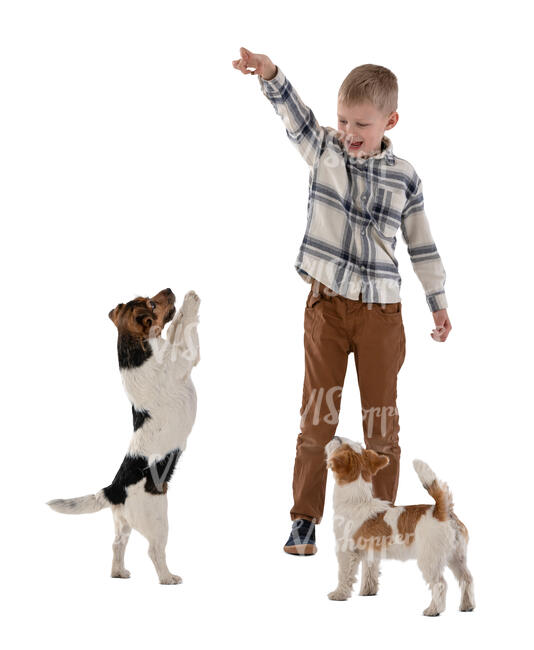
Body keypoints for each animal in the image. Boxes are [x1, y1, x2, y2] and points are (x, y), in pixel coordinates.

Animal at [47, 288, 202, 584]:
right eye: (152, 304)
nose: (169, 290)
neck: (136, 351)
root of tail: (114, 488)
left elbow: (175, 327)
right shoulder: (185, 357)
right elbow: (186, 326)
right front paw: (191, 301)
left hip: (123, 522)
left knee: (117, 544)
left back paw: (118, 572)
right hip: (157, 520)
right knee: (154, 551)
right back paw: (168, 578)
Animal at [324, 436, 476, 612]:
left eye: (340, 444)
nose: (335, 436)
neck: (356, 499)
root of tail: (442, 511)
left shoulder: (345, 551)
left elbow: (343, 575)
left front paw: (339, 594)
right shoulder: (371, 553)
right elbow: (369, 572)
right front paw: (368, 591)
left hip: (430, 559)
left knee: (440, 584)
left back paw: (433, 610)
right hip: (456, 557)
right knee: (466, 579)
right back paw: (467, 605)